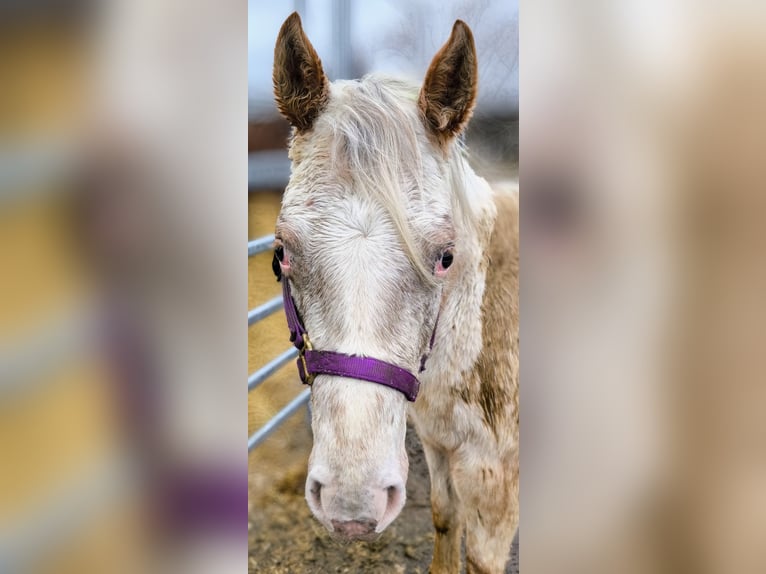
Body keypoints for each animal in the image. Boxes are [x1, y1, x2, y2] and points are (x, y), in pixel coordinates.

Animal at [272, 12, 520, 572]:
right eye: (283, 252)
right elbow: (445, 517)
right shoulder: (437, 445)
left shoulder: (496, 489)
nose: (351, 502)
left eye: (445, 256)